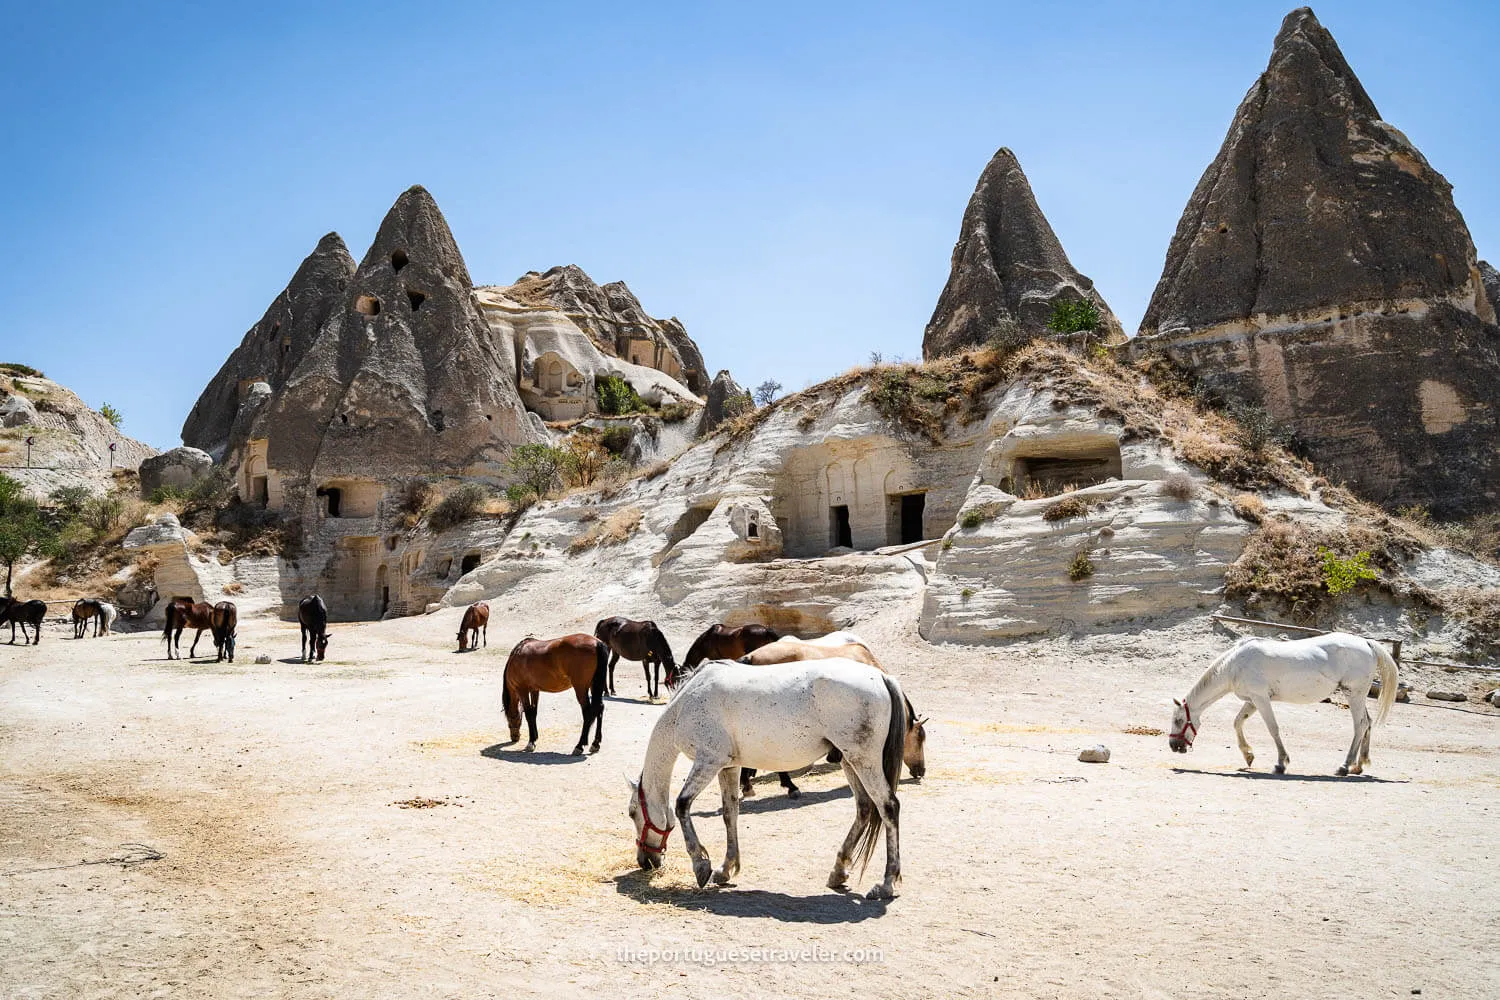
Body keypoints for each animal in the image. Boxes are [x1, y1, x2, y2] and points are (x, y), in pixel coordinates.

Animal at [627, 657, 907, 899]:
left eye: (632, 813)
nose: (645, 861)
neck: (686, 704)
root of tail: (881, 677)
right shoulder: (728, 767)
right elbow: (730, 814)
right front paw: (725, 869)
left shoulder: (708, 761)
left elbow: (682, 805)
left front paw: (701, 865)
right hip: (849, 761)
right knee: (864, 808)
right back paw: (838, 872)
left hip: (863, 761)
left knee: (888, 807)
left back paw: (886, 884)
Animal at [1169, 631, 1399, 776]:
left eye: (1179, 720)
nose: (1173, 746)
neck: (1234, 665)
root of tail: (1367, 643)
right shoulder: (1253, 701)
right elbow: (1237, 722)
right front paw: (1248, 755)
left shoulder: (1261, 699)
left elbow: (1273, 729)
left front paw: (1281, 764)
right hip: (1357, 696)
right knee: (1368, 722)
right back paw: (1359, 765)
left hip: (1354, 694)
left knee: (1360, 725)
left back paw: (1344, 766)